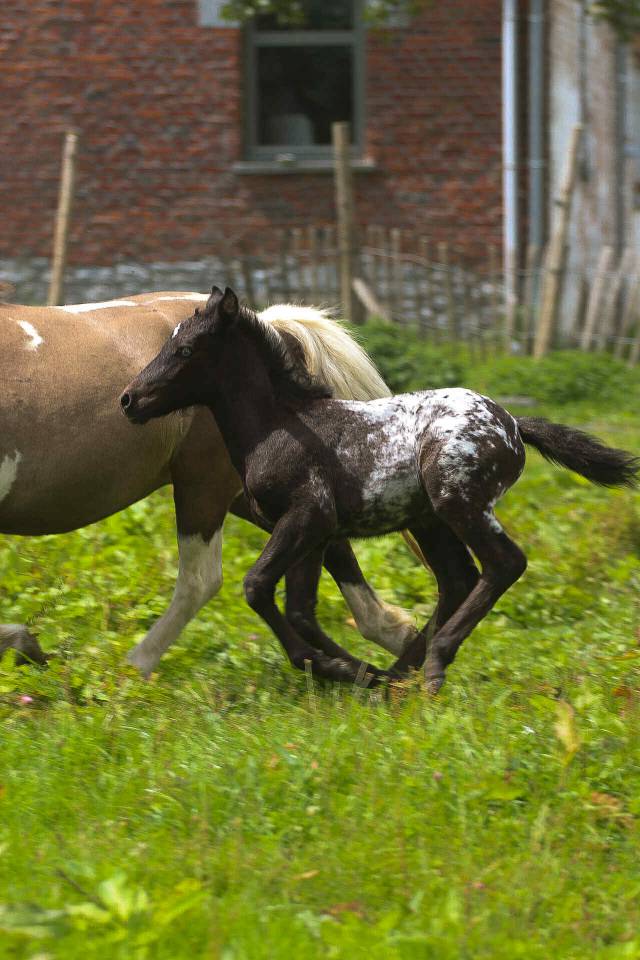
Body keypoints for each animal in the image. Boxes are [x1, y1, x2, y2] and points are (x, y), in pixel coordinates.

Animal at [0, 290, 420, 675]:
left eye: (186, 350)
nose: (128, 400)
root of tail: (269, 323)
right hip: (255, 498)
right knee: (332, 549)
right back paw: (396, 645)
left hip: (204, 487)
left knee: (201, 580)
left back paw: (134, 666)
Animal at [121, 286, 639, 690]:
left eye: (186, 350)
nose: (129, 399)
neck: (280, 426)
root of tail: (512, 422)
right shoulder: (315, 533)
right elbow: (299, 608)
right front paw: (352, 671)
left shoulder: (307, 518)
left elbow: (257, 587)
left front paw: (334, 667)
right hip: (430, 520)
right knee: (458, 580)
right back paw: (396, 676)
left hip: (460, 504)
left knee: (503, 564)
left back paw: (431, 665)